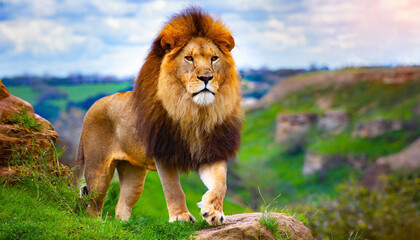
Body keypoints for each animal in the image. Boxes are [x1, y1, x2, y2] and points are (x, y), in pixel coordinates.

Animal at [72, 7, 243, 225]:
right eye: (189, 58)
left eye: (214, 58)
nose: (206, 77)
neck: (195, 112)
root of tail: (92, 107)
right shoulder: (164, 152)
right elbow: (173, 189)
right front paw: (180, 217)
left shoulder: (212, 152)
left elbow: (221, 184)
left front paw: (213, 212)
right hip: (98, 171)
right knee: (92, 206)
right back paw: (97, 224)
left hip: (133, 172)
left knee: (121, 206)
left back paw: (126, 224)